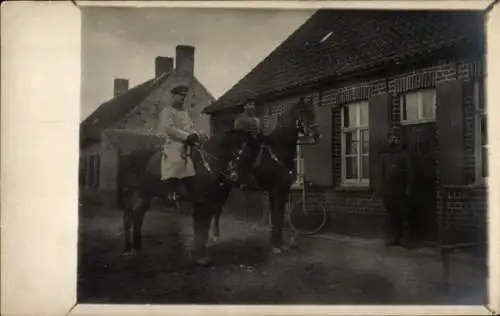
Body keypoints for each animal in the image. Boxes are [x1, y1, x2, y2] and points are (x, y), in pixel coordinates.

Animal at [117, 97, 320, 266]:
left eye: (314, 112)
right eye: (304, 112)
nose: (316, 135)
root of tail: (129, 155)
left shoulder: (282, 190)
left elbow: (278, 217)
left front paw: (279, 244)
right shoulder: (273, 189)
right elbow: (201, 225)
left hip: (146, 195)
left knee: (138, 216)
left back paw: (137, 247)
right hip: (135, 194)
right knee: (129, 217)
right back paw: (128, 249)